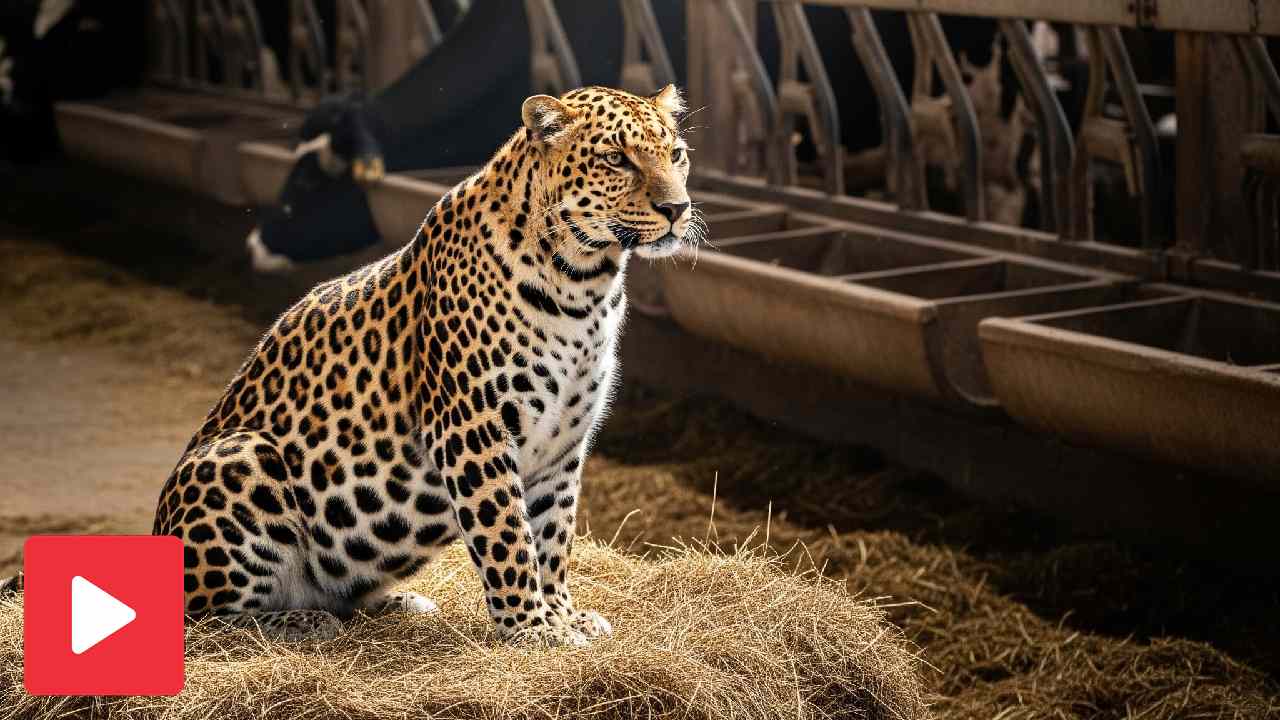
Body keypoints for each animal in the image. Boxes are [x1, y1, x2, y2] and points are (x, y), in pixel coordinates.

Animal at [149, 84, 699, 646]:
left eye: (676, 154)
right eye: (617, 159)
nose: (676, 208)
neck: (584, 284)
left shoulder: (564, 442)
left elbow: (552, 537)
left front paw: (563, 617)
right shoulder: (473, 428)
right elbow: (507, 534)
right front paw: (531, 629)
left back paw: (399, 604)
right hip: (243, 457)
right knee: (205, 618)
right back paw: (300, 621)